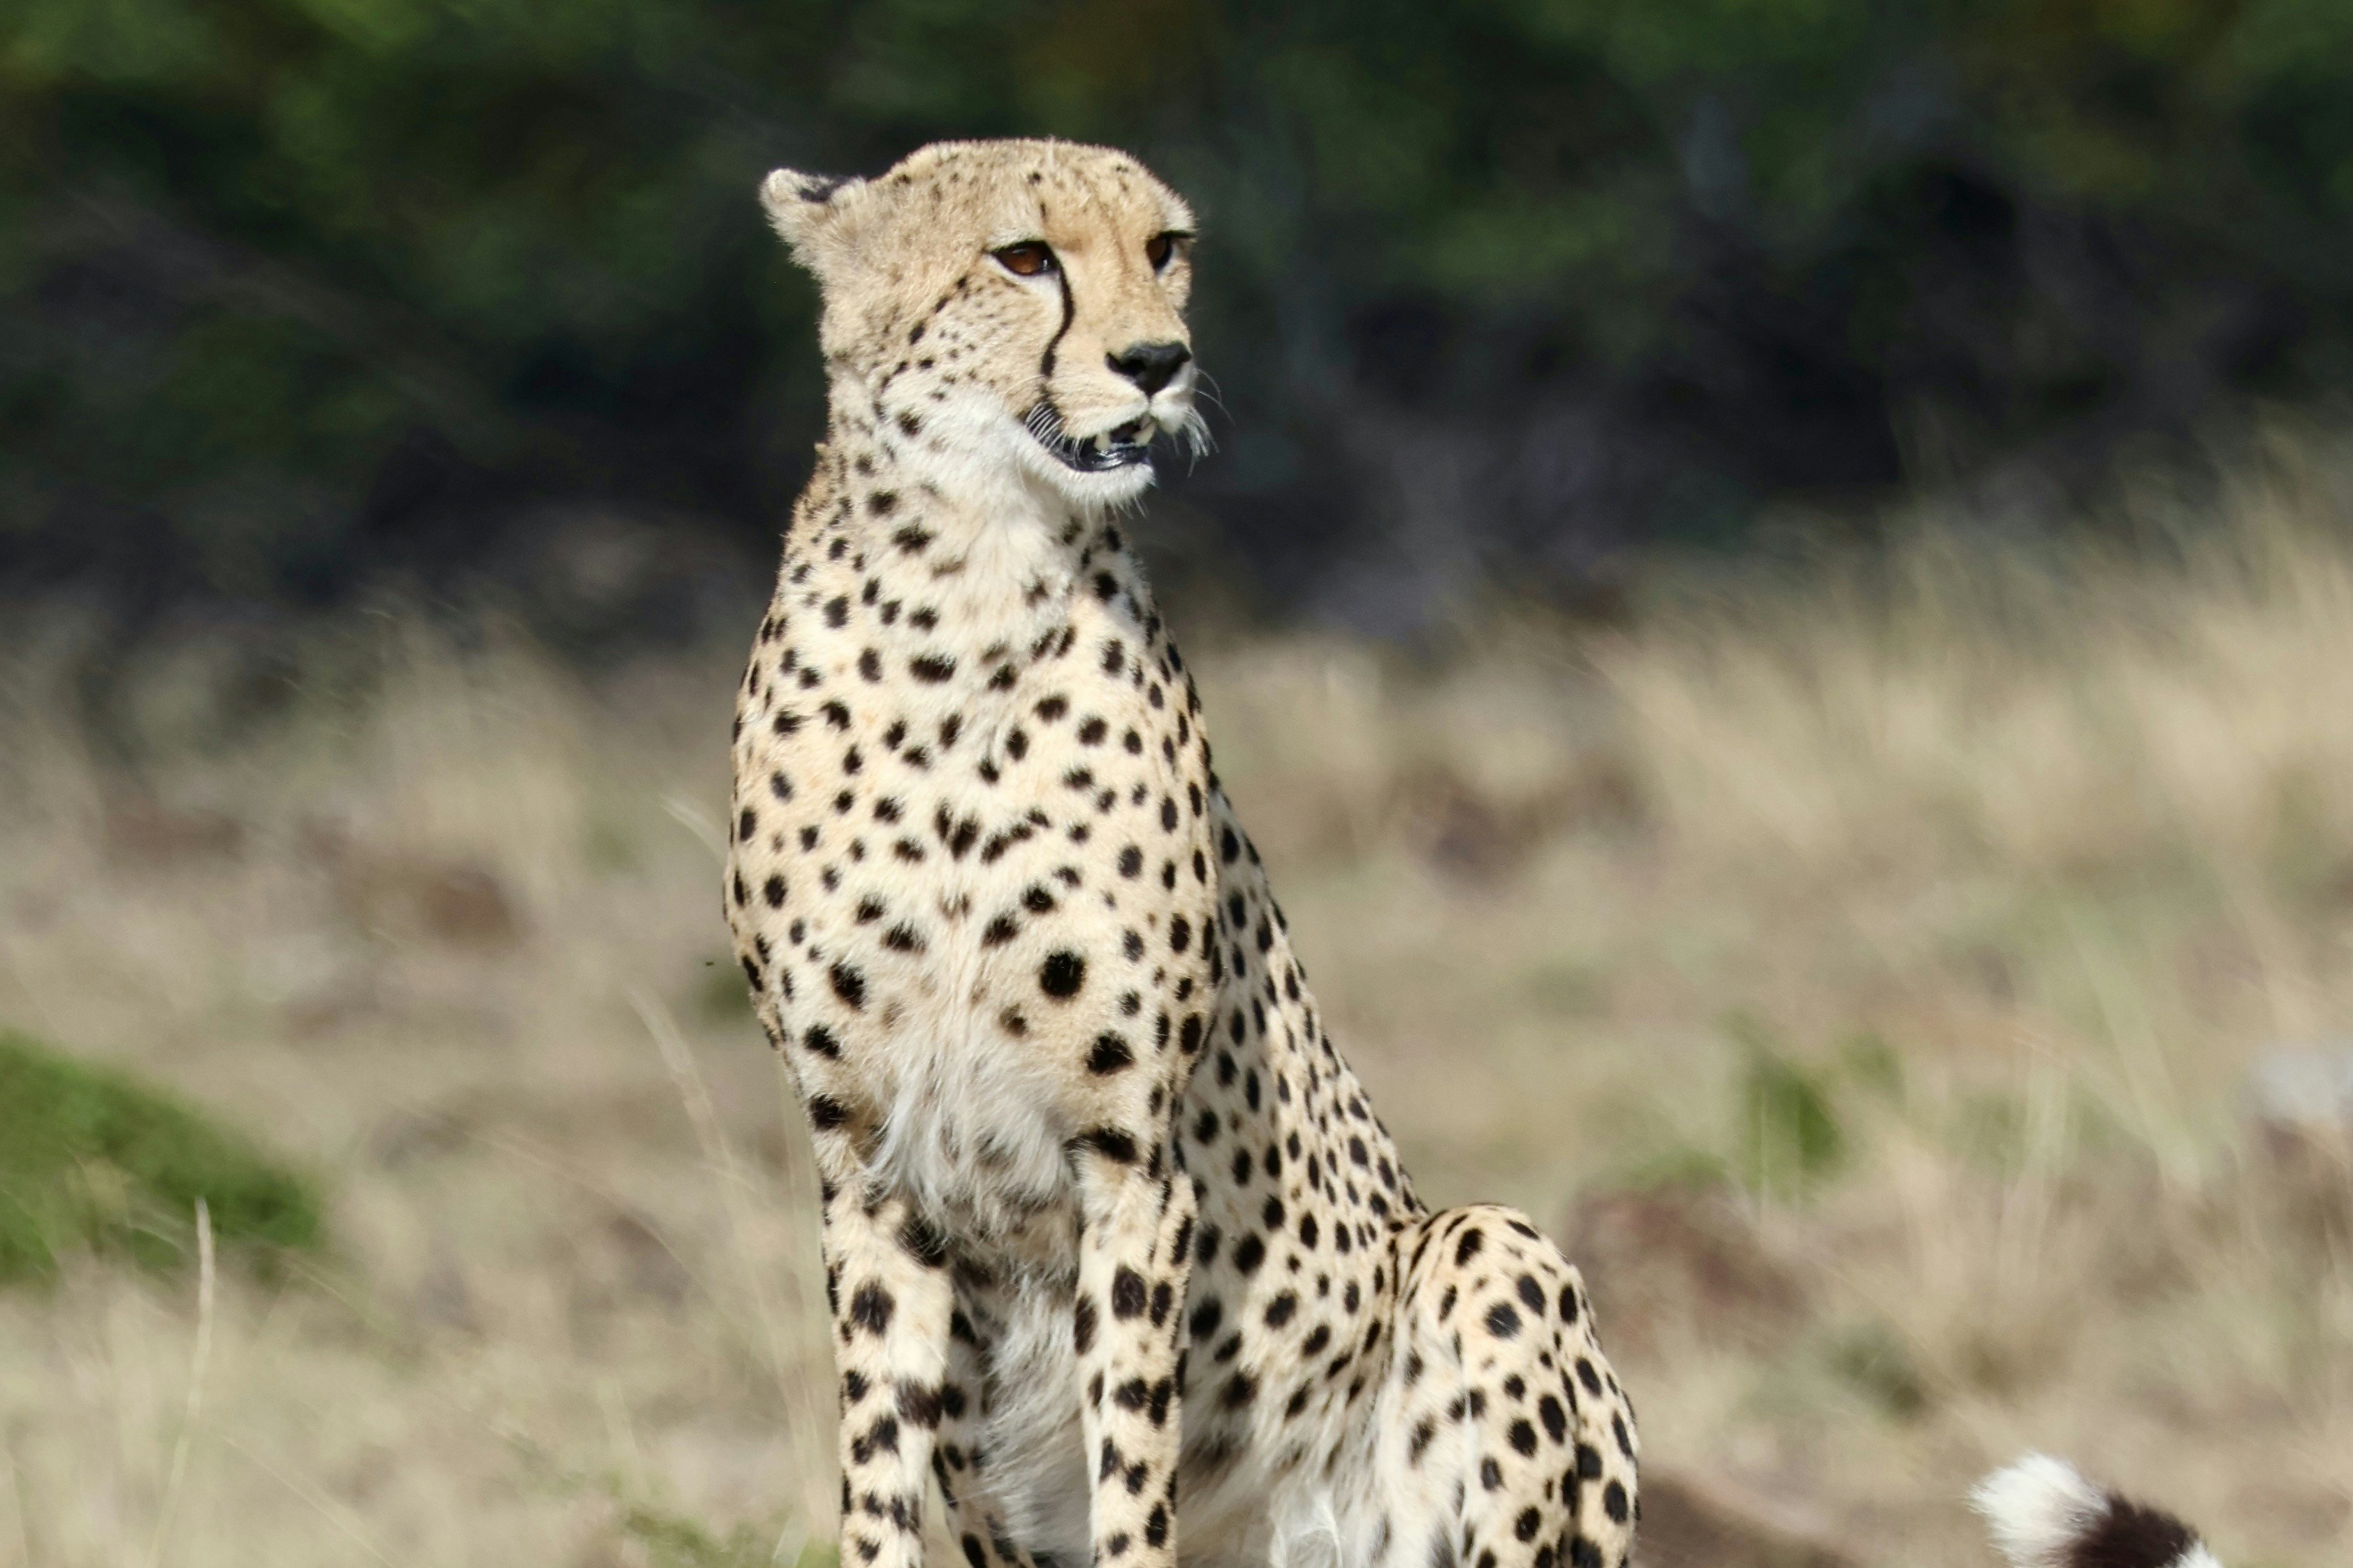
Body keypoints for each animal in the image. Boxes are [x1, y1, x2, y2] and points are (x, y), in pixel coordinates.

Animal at [724, 137, 1638, 1568]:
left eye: (1165, 249)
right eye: (1023, 256)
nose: (1159, 359)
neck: (962, 594)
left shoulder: (1128, 1162)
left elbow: (1133, 1465)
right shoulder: (867, 1170)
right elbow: (875, 1474)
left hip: (1491, 1255)